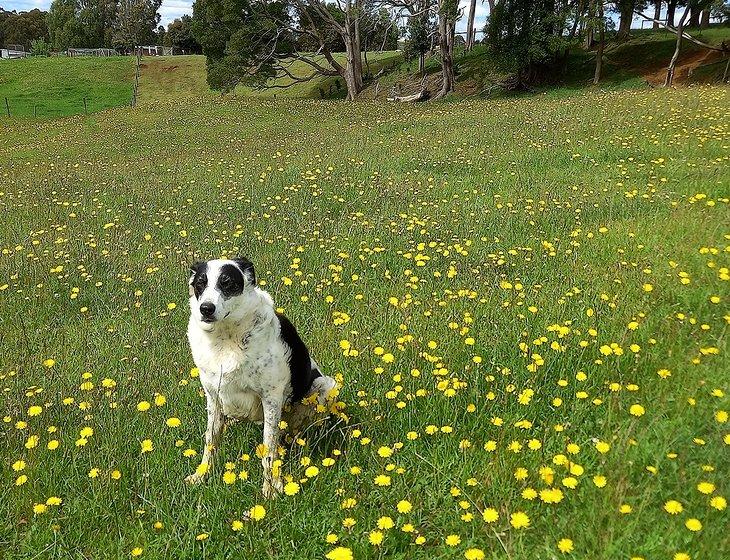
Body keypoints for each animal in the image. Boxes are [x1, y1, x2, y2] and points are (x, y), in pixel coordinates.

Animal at [186, 256, 336, 496]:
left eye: (227, 283)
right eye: (200, 283)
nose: (206, 309)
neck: (226, 337)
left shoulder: (271, 397)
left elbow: (269, 447)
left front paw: (272, 487)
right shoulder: (213, 396)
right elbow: (211, 439)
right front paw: (201, 475)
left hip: (324, 386)